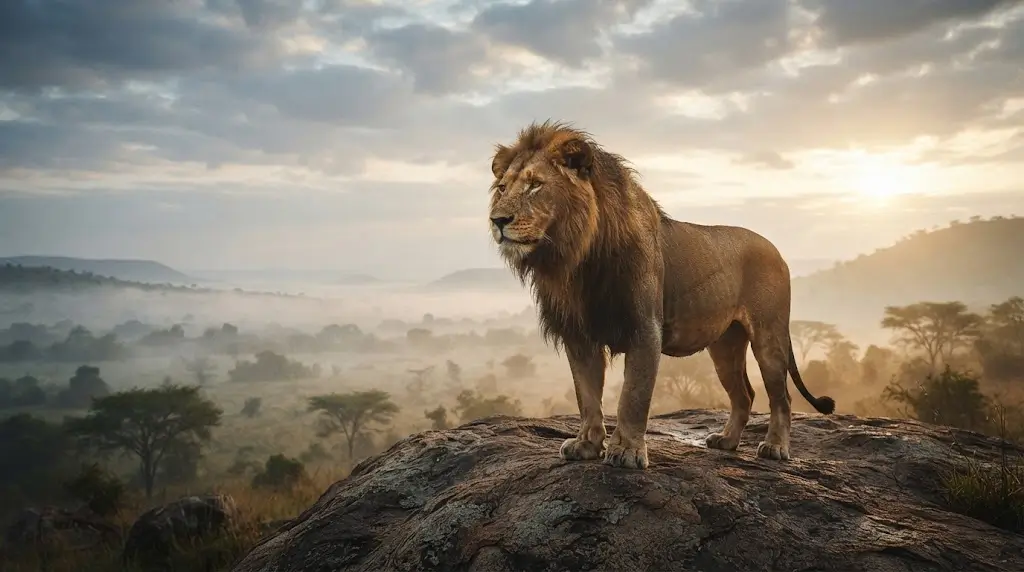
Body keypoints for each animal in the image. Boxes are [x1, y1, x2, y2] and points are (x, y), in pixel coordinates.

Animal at [487, 121, 835, 469]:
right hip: (725, 345)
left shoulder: (644, 329)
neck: (575, 258)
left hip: (769, 335)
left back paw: (775, 447)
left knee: (781, 396)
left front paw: (626, 452)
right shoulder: (579, 335)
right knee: (744, 394)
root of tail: (777, 251)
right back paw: (726, 441)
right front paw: (586, 444)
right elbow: (586, 395)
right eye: (502, 188)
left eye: (535, 185)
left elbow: (632, 397)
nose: (497, 220)